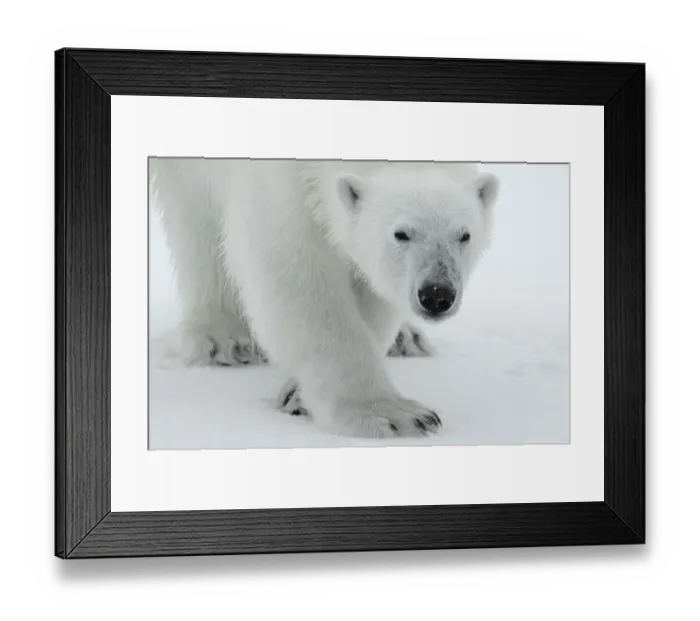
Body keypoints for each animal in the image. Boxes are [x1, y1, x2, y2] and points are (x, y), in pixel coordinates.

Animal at [149, 158, 499, 439]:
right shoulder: (274, 180)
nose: (437, 294)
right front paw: (390, 414)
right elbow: (290, 265)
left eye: (464, 235)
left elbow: (370, 284)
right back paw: (224, 337)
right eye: (401, 233)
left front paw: (297, 394)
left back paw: (405, 339)